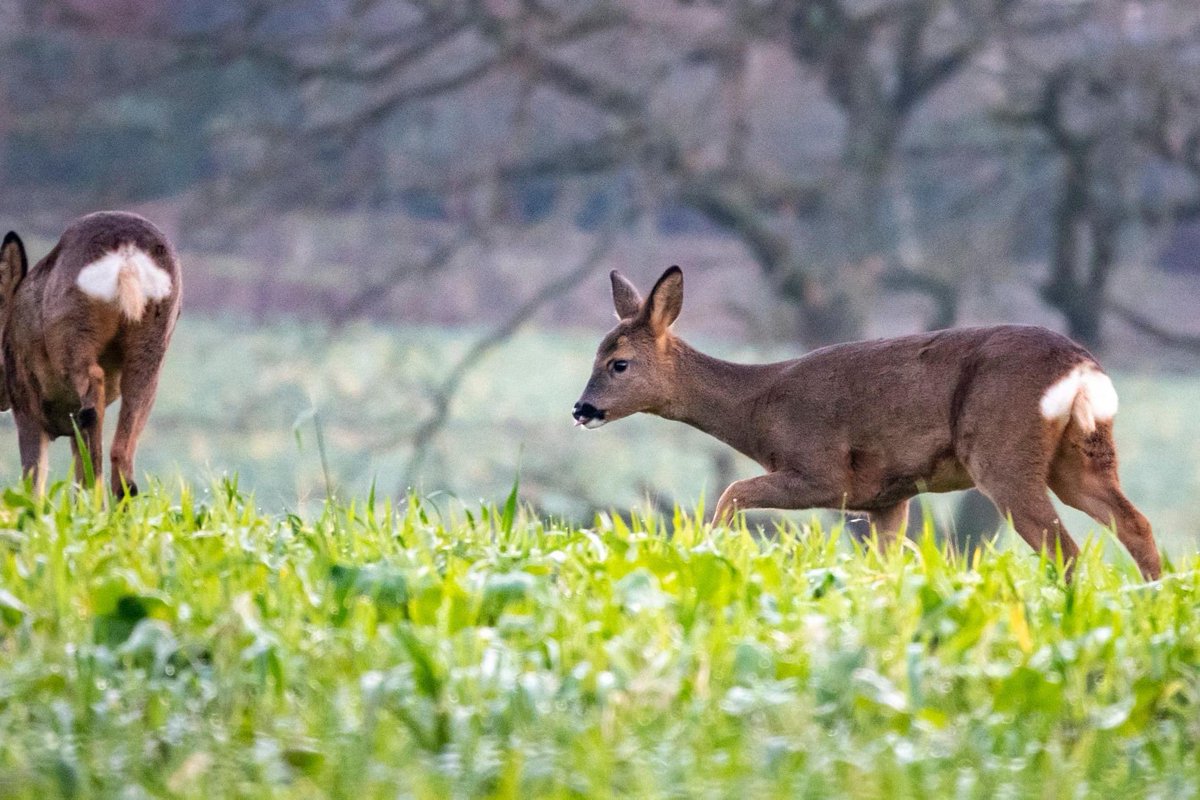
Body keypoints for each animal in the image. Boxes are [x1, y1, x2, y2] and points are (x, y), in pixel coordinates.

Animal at [0, 211, 182, 497]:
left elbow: (33, 482)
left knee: (92, 401)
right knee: (121, 448)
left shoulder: (26, 407)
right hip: (152, 346)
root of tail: (126, 254)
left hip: (73, 337)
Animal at [572, 266, 1161, 581]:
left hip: (1003, 453)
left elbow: (731, 493)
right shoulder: (887, 496)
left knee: (1066, 549)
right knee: (1134, 523)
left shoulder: (822, 471)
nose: (582, 409)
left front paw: (707, 554)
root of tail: (1082, 367)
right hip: (1080, 454)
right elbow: (884, 565)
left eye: (618, 363)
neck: (760, 410)